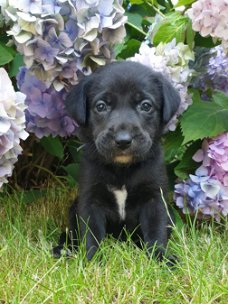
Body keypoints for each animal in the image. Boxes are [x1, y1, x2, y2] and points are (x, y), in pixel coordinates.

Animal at [54, 61, 181, 262]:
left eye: (146, 106)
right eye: (101, 106)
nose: (123, 140)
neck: (122, 169)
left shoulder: (154, 198)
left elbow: (156, 232)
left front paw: (161, 259)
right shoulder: (90, 200)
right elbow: (91, 234)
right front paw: (92, 261)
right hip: (73, 209)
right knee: (72, 233)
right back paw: (64, 249)